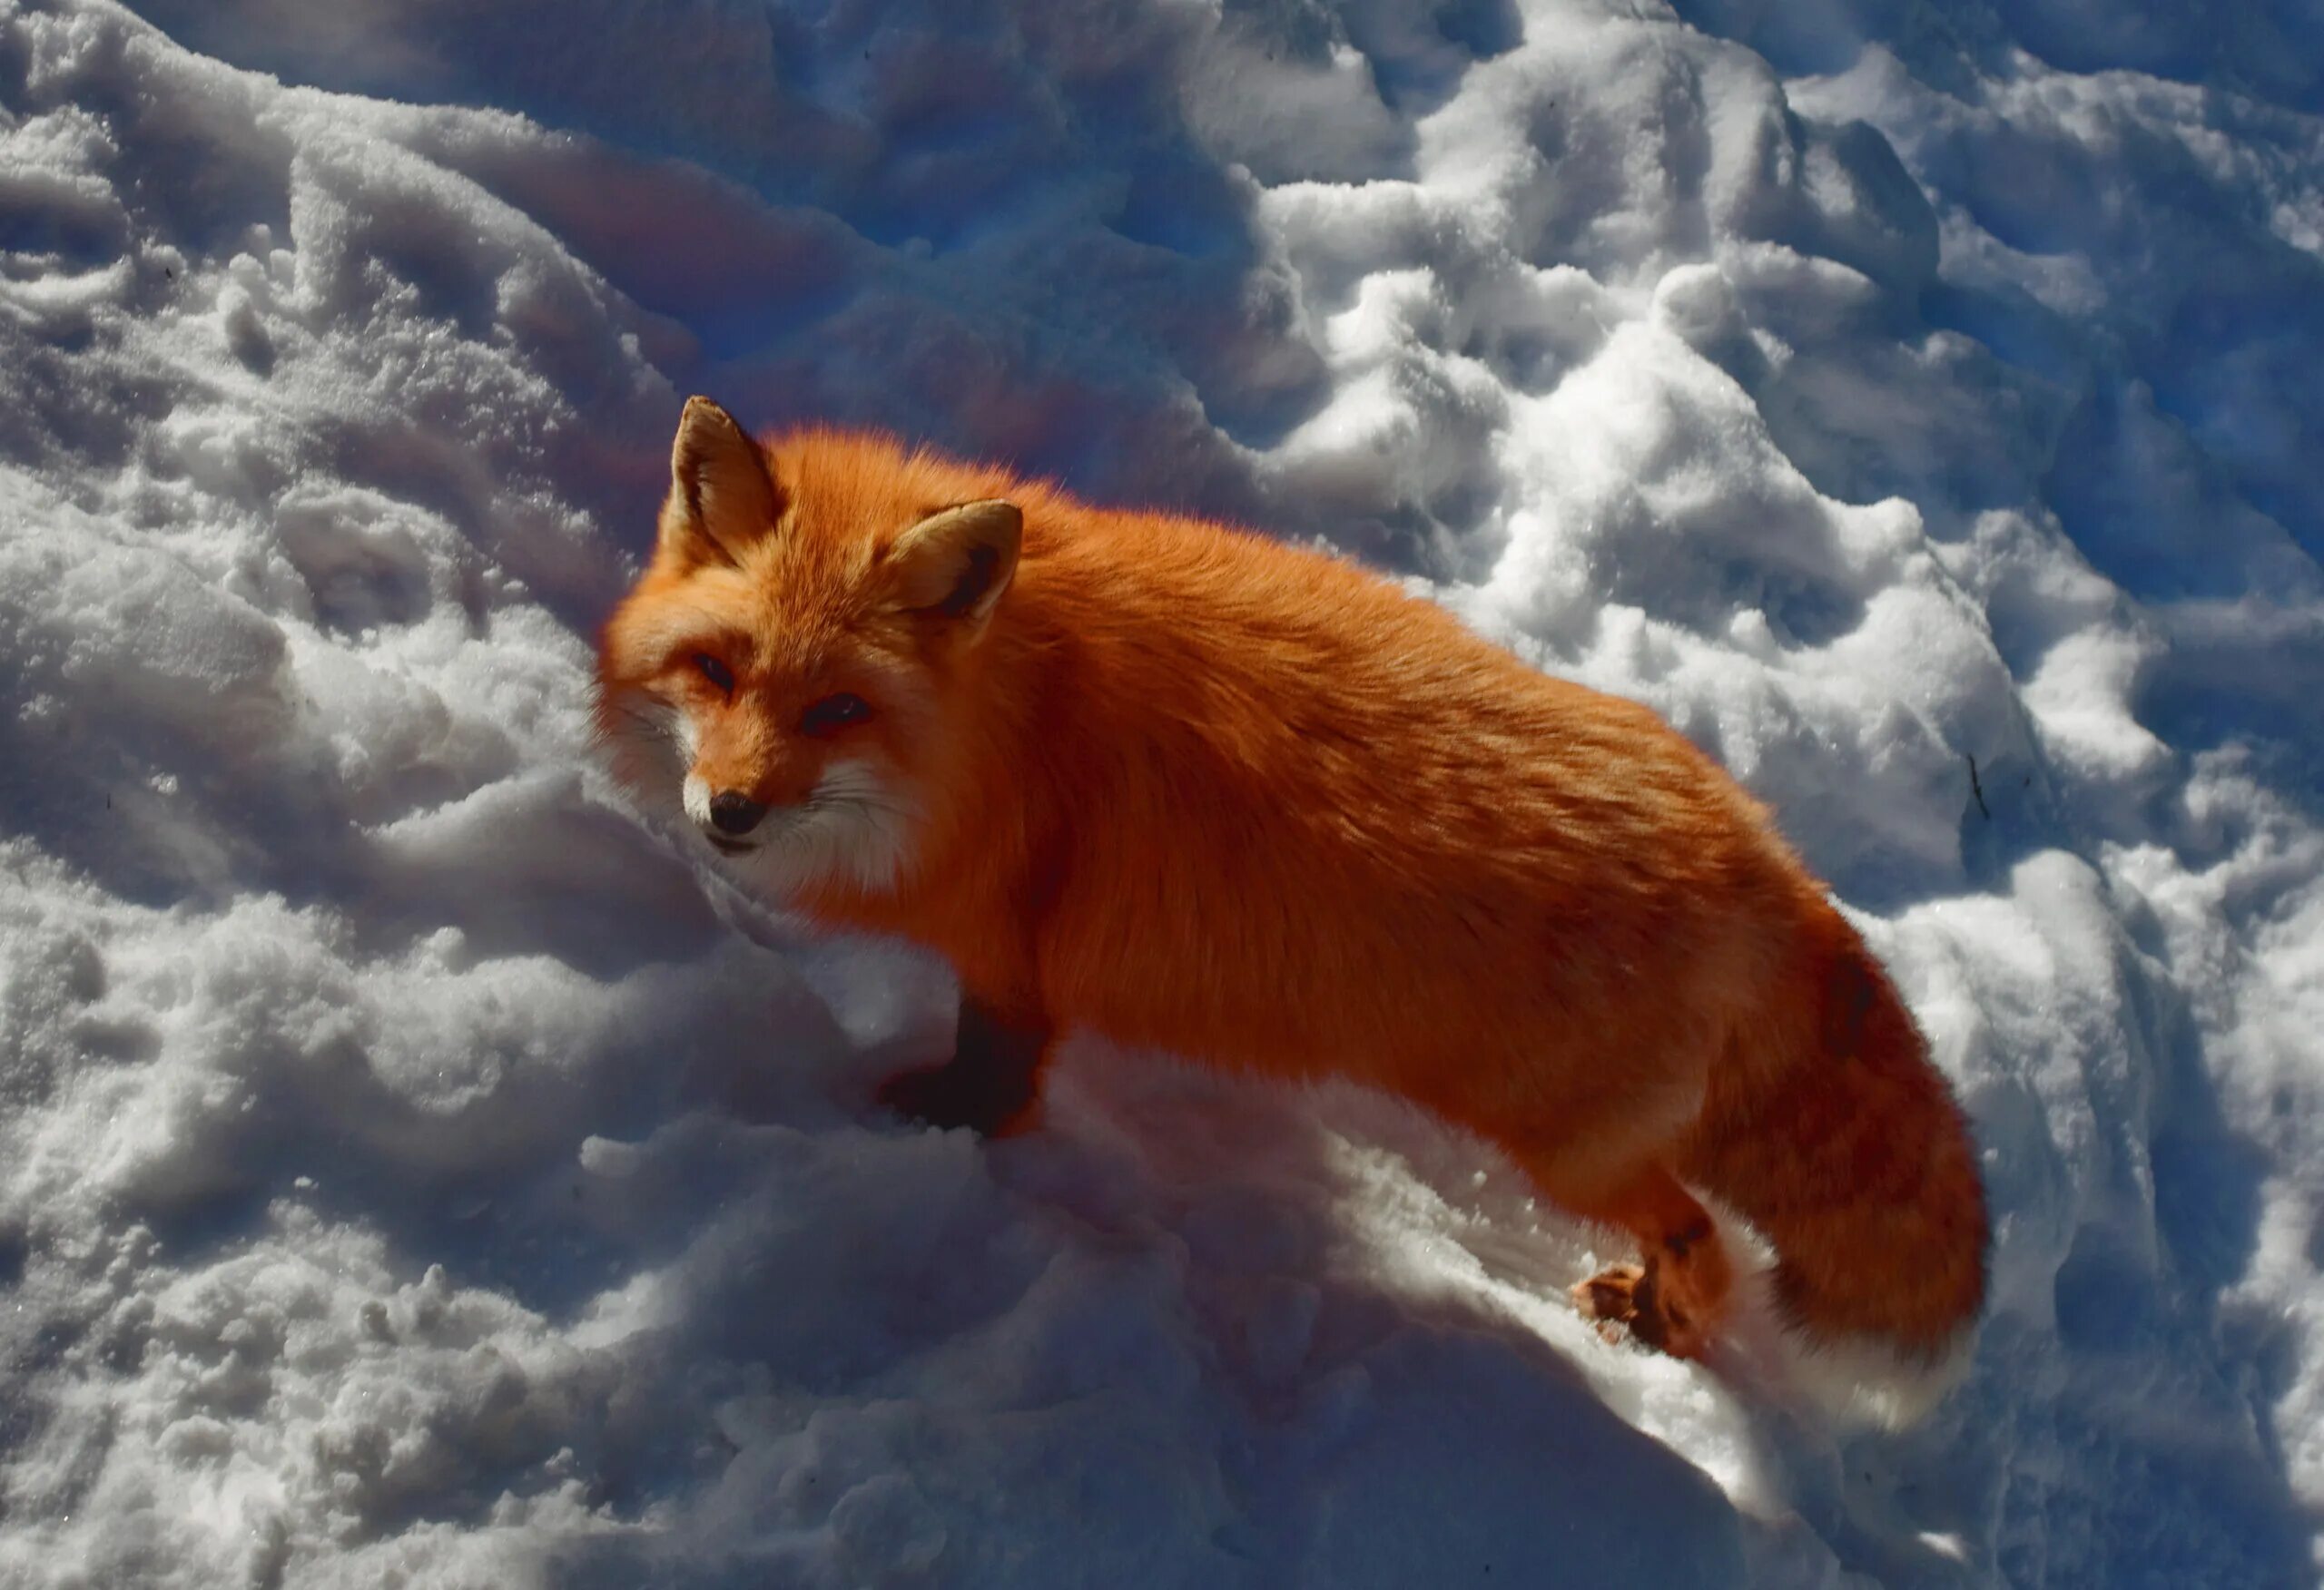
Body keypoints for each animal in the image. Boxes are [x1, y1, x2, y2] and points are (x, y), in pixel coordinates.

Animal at [595, 395, 1980, 1413]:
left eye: (840, 710)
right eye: (718, 671)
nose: (728, 813)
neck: (1008, 722)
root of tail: (1775, 864)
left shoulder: (1013, 957)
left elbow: (992, 1079)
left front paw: (936, 1134)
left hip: (1564, 1146)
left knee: (1709, 1242)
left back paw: (1668, 1327)